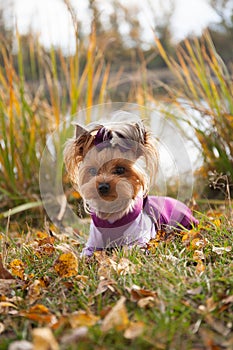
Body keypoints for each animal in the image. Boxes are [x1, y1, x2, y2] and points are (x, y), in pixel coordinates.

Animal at [64, 113, 198, 256]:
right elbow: (86, 253)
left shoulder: (139, 240)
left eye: (120, 170)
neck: (112, 215)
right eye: (93, 171)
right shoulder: (92, 244)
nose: (103, 186)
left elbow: (131, 250)